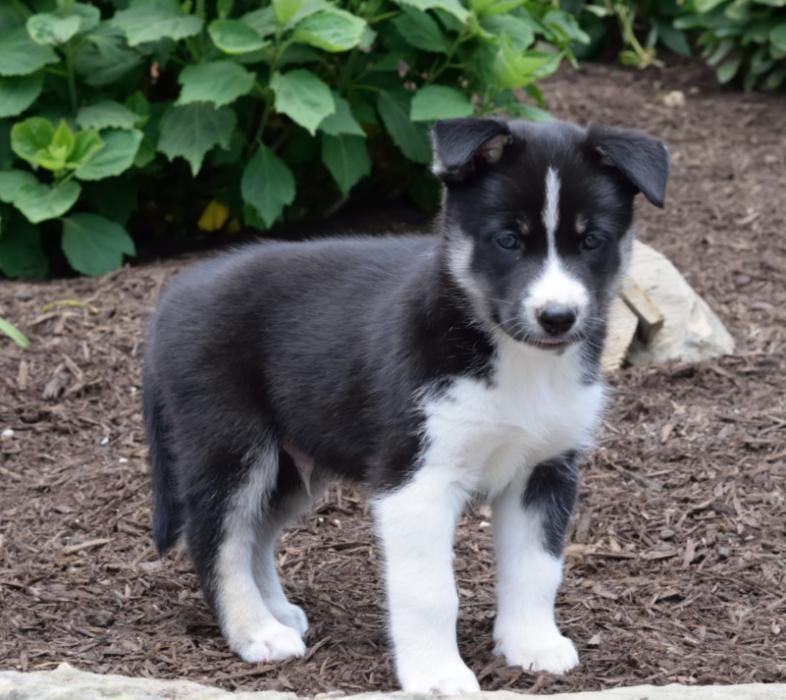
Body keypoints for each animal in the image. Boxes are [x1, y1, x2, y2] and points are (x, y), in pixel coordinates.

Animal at [142, 117, 668, 692]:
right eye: (508, 240)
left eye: (592, 240)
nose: (558, 317)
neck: (510, 357)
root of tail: (171, 299)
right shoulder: (415, 477)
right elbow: (429, 592)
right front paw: (437, 675)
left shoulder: (546, 467)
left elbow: (536, 568)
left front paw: (531, 644)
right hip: (231, 444)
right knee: (218, 537)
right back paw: (256, 631)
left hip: (292, 461)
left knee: (255, 532)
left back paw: (276, 612)